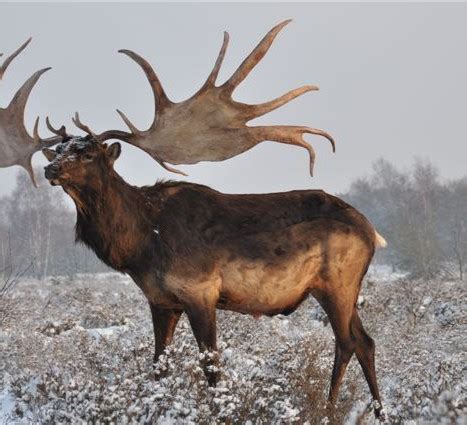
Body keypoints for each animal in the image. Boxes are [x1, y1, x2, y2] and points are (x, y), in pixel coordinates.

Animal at [42, 137, 388, 418]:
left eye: (87, 154)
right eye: (58, 149)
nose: (49, 168)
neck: (139, 245)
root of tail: (372, 232)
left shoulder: (200, 292)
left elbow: (211, 365)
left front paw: (219, 410)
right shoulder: (162, 301)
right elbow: (159, 365)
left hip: (337, 284)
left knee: (346, 342)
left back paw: (329, 410)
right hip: (341, 291)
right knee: (366, 342)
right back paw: (379, 412)